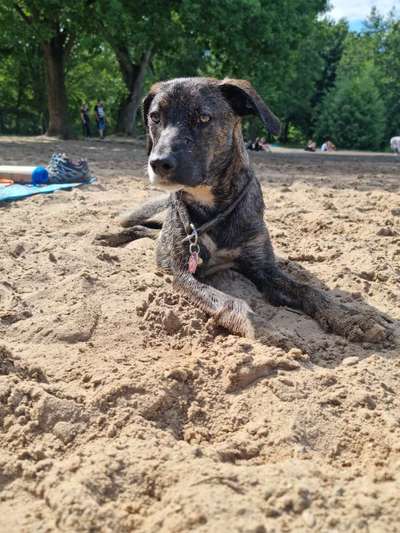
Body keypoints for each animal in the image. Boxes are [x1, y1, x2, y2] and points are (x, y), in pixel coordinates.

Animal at [98, 77, 392, 342]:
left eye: (203, 118)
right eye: (155, 117)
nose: (158, 163)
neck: (214, 208)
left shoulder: (264, 270)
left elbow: (308, 290)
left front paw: (349, 317)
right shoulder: (183, 274)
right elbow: (229, 301)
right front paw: (261, 327)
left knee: (149, 231)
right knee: (142, 228)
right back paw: (107, 237)